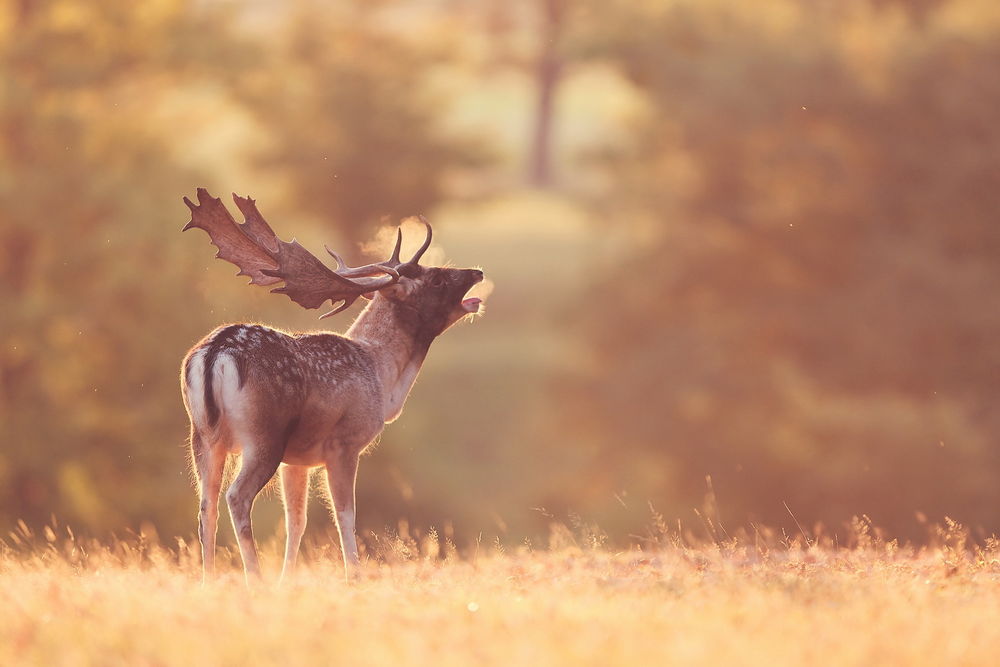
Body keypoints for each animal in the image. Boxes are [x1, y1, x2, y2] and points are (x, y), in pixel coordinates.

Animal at [178, 188, 485, 584]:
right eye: (435, 279)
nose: (477, 271)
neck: (382, 377)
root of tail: (214, 352)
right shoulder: (344, 443)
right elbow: (345, 515)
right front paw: (354, 576)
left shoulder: (297, 460)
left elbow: (297, 521)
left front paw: (288, 579)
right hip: (263, 436)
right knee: (236, 497)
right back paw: (254, 579)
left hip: (202, 437)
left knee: (206, 505)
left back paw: (209, 580)